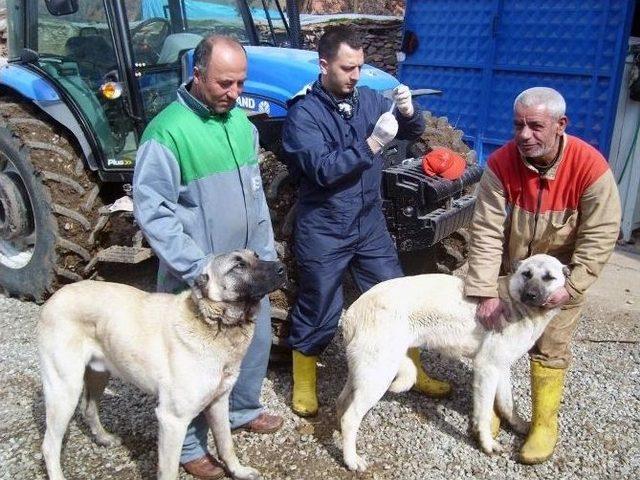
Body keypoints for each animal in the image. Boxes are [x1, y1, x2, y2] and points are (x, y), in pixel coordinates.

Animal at [36, 249, 284, 480]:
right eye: (237, 266)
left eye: (256, 255)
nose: (282, 268)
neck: (214, 324)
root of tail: (54, 297)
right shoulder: (172, 419)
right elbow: (169, 471)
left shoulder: (218, 402)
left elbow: (226, 444)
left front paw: (238, 471)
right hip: (64, 389)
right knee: (49, 445)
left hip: (98, 373)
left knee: (88, 408)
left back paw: (104, 438)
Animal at [338, 253, 568, 470]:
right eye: (527, 274)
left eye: (549, 278)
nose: (531, 295)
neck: (514, 303)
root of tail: (352, 312)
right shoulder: (486, 368)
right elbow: (484, 413)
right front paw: (487, 443)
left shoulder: (501, 367)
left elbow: (507, 403)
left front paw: (519, 426)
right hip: (378, 375)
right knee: (349, 419)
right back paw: (351, 460)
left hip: (366, 373)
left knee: (342, 404)